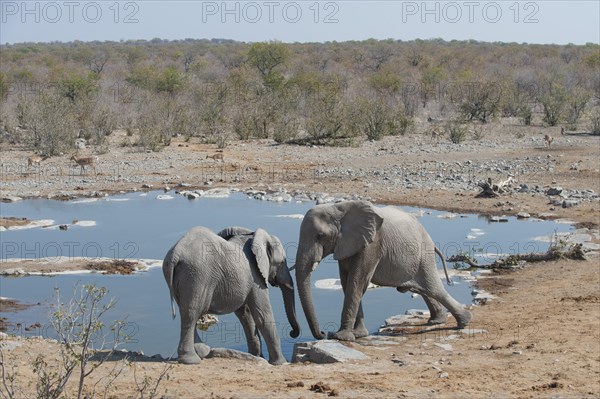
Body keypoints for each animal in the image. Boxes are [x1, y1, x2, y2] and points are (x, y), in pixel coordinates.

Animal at [162, 227, 300, 364]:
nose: (292, 333)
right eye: (282, 262)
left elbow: (246, 315)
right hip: (196, 276)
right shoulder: (256, 277)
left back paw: (202, 351)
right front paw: (281, 363)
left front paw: (257, 356)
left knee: (187, 313)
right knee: (192, 314)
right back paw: (192, 360)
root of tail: (175, 254)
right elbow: (262, 315)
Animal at [292, 202, 472, 342]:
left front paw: (341, 337)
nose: (323, 333)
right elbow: (346, 281)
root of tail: (431, 240)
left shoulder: (372, 244)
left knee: (434, 288)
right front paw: (359, 334)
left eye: (320, 235)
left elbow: (357, 282)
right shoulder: (347, 244)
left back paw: (464, 321)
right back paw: (437, 321)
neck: (338, 208)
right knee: (423, 289)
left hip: (424, 256)